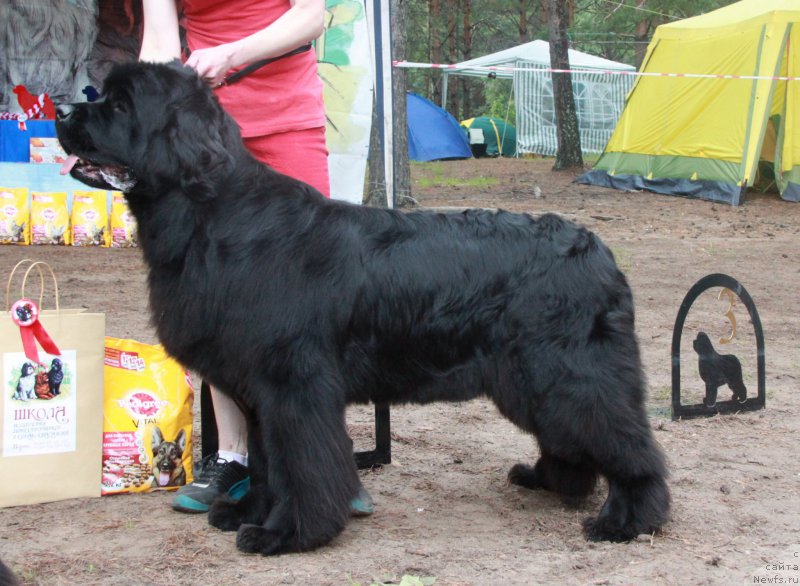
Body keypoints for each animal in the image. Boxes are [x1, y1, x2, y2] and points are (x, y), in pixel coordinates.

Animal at [54, 61, 668, 556]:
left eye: (120, 105)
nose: (59, 109)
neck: (214, 214)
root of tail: (599, 250)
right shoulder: (260, 392)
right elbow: (268, 464)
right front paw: (248, 513)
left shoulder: (295, 387)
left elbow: (301, 465)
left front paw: (287, 534)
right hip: (532, 381)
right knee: (573, 438)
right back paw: (550, 481)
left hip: (569, 374)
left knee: (630, 446)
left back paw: (628, 519)